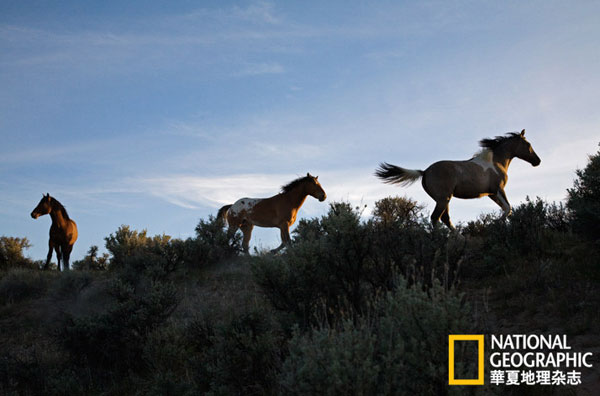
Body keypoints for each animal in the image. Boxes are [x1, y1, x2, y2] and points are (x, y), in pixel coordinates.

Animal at [376, 130, 540, 229]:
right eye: (528, 144)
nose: (537, 161)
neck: (495, 162)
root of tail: (425, 172)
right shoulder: (498, 190)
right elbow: (508, 209)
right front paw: (493, 225)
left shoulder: (491, 194)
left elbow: (507, 210)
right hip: (443, 199)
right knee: (436, 218)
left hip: (444, 199)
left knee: (445, 219)